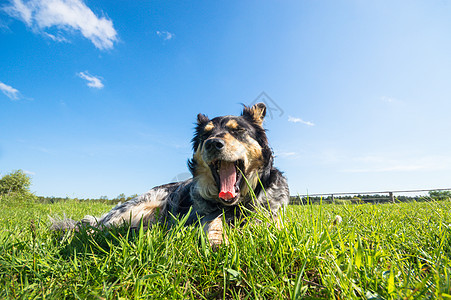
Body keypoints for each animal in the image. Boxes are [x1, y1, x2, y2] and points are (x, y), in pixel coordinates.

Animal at [54, 103, 290, 246]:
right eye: (205, 135)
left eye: (237, 130)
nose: (213, 143)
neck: (235, 204)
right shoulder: (198, 217)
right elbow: (212, 223)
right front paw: (216, 240)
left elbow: (270, 227)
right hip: (132, 209)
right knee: (92, 228)